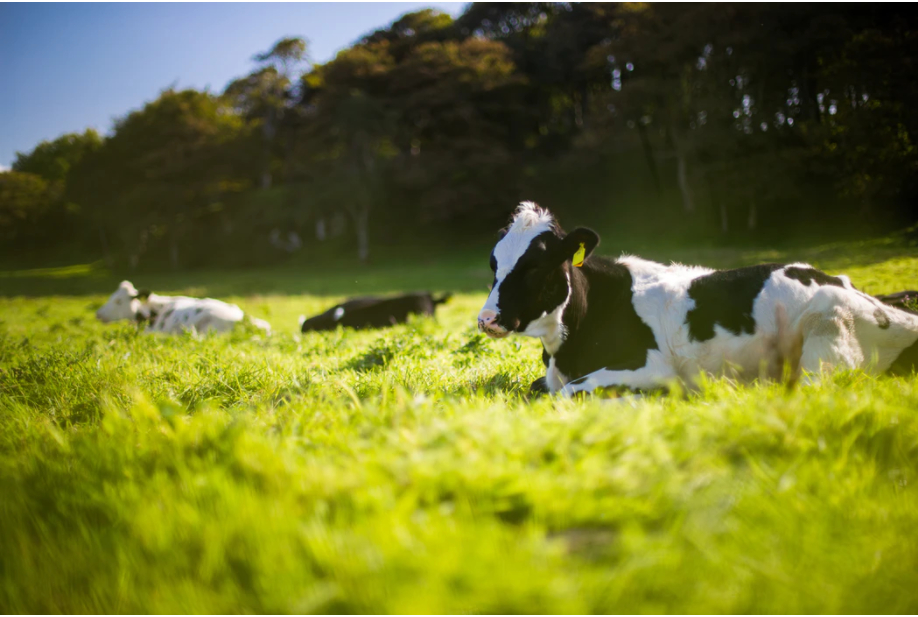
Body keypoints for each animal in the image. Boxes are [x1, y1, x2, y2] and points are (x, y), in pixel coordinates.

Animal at [478, 200, 918, 398]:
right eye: (493, 262)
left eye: (535, 266)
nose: (486, 319)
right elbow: (541, 388)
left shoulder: (650, 365)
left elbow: (569, 392)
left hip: (826, 340)